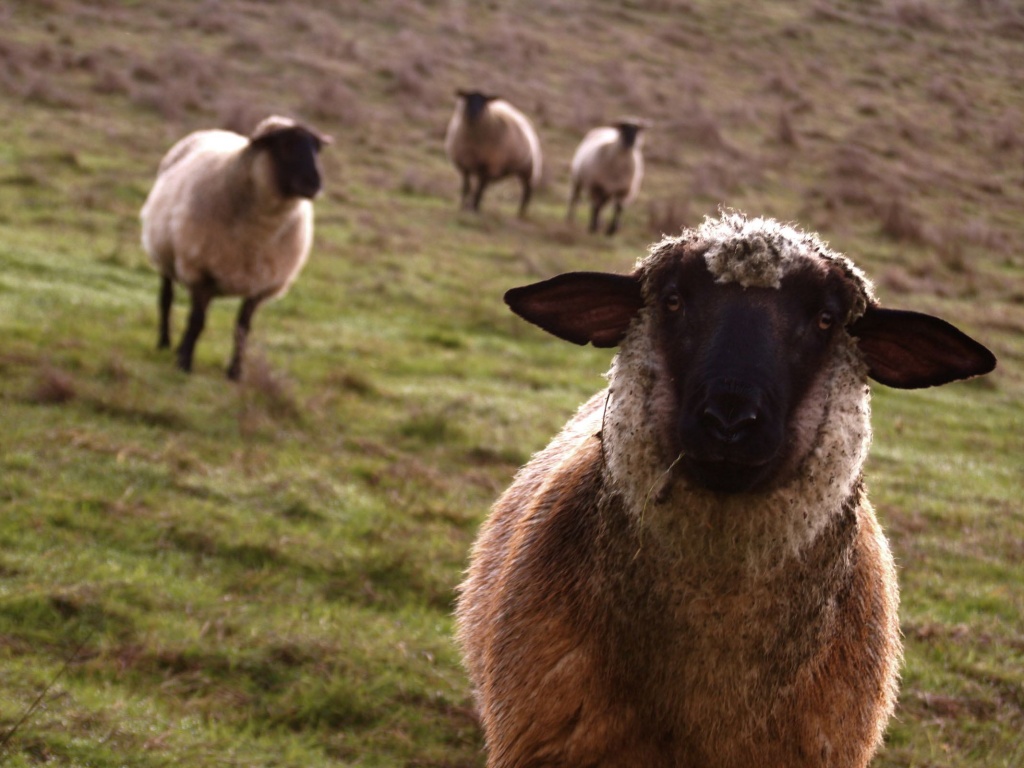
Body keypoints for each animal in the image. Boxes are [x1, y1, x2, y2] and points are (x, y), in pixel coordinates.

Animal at [140, 115, 329, 380]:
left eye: (316, 148)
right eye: (285, 145)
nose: (314, 184)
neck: (259, 231)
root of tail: (213, 130)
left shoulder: (260, 284)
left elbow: (242, 329)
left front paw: (235, 372)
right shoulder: (201, 271)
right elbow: (197, 321)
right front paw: (185, 363)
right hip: (165, 255)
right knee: (166, 299)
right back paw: (165, 343)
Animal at [446, 91, 548, 221]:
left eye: (484, 101)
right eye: (468, 99)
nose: (474, 114)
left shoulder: (488, 166)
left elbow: (479, 189)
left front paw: (474, 208)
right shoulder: (465, 164)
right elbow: (467, 187)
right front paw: (463, 206)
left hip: (528, 169)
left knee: (527, 191)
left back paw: (521, 214)